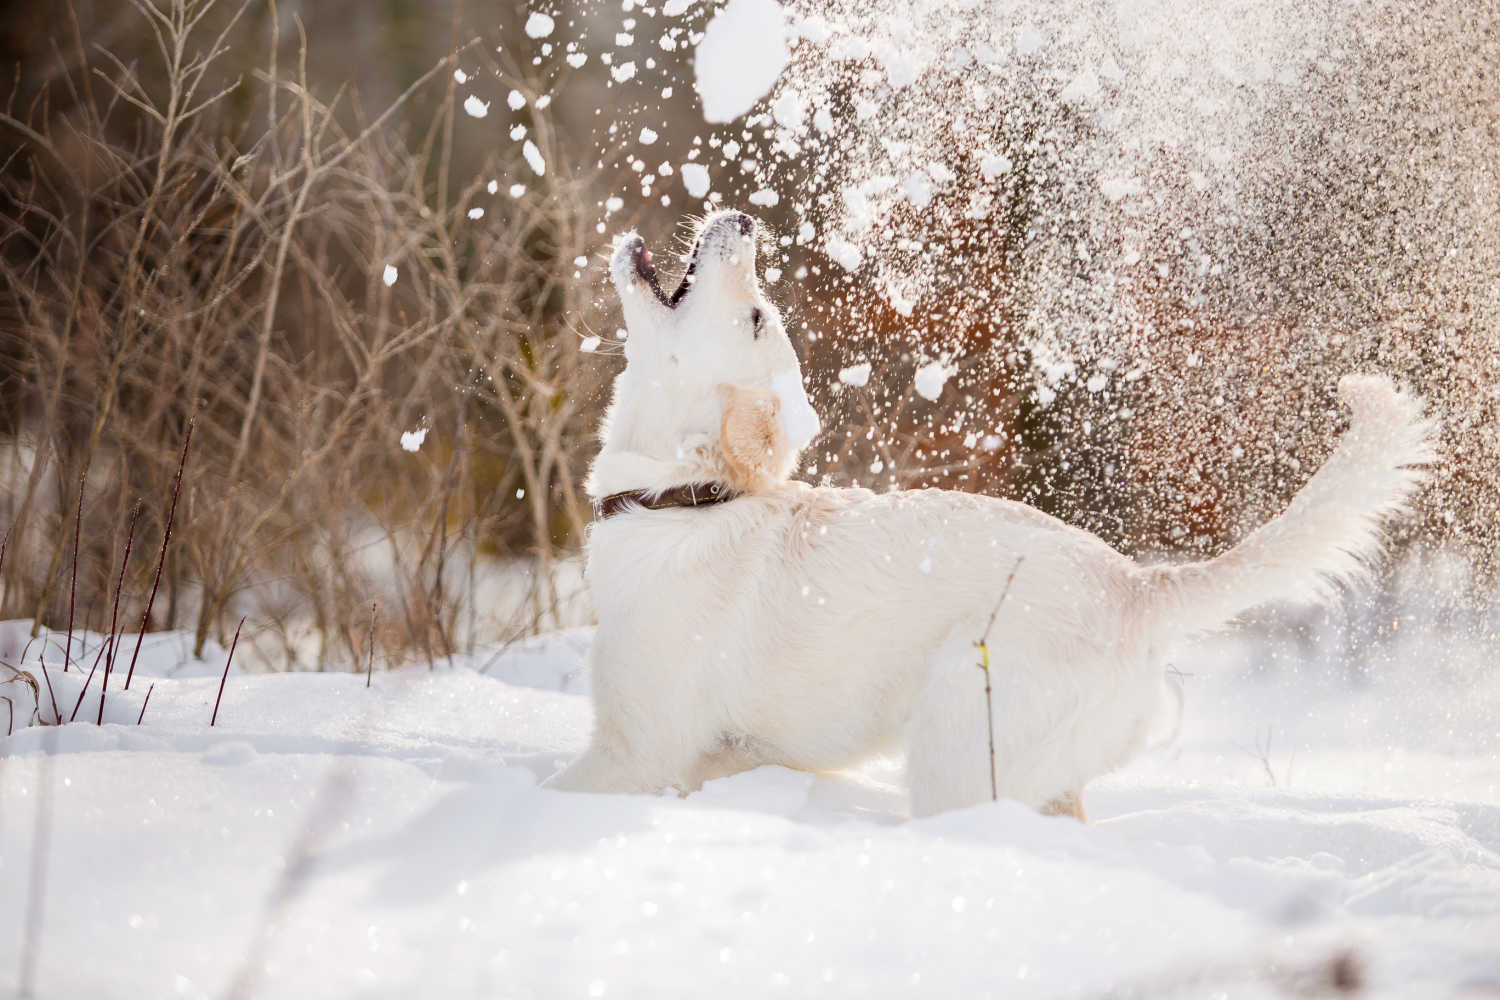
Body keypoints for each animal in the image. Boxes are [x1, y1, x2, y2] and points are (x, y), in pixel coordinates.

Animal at [549, 211, 1428, 821]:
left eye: (759, 316)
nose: (746, 221)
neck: (681, 499)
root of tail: (1136, 586)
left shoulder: (635, 750)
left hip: (959, 748)